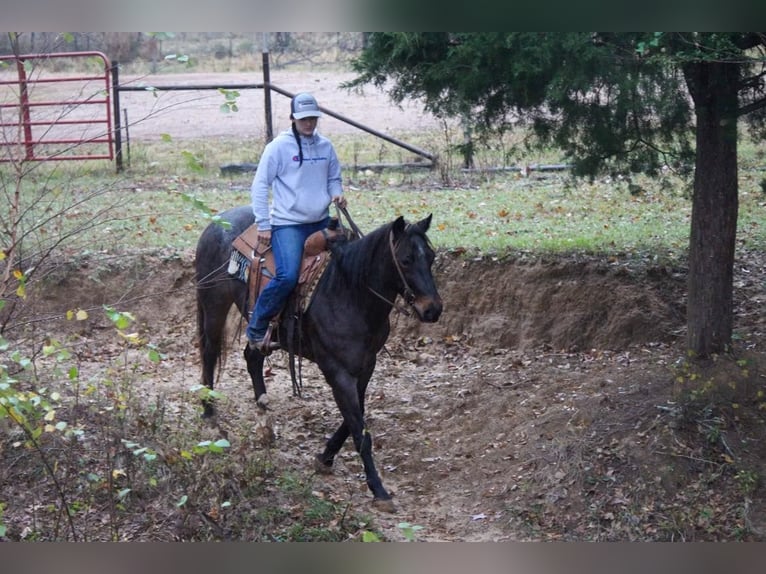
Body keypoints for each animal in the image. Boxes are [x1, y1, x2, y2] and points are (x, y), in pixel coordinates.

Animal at [195, 207, 444, 512]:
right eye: (406, 260)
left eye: (430, 257)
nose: (433, 309)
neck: (350, 292)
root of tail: (215, 222)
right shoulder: (336, 370)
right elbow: (360, 430)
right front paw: (378, 489)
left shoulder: (366, 365)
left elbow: (355, 419)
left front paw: (325, 457)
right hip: (214, 304)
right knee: (209, 353)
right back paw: (209, 412)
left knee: (251, 357)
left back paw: (265, 419)